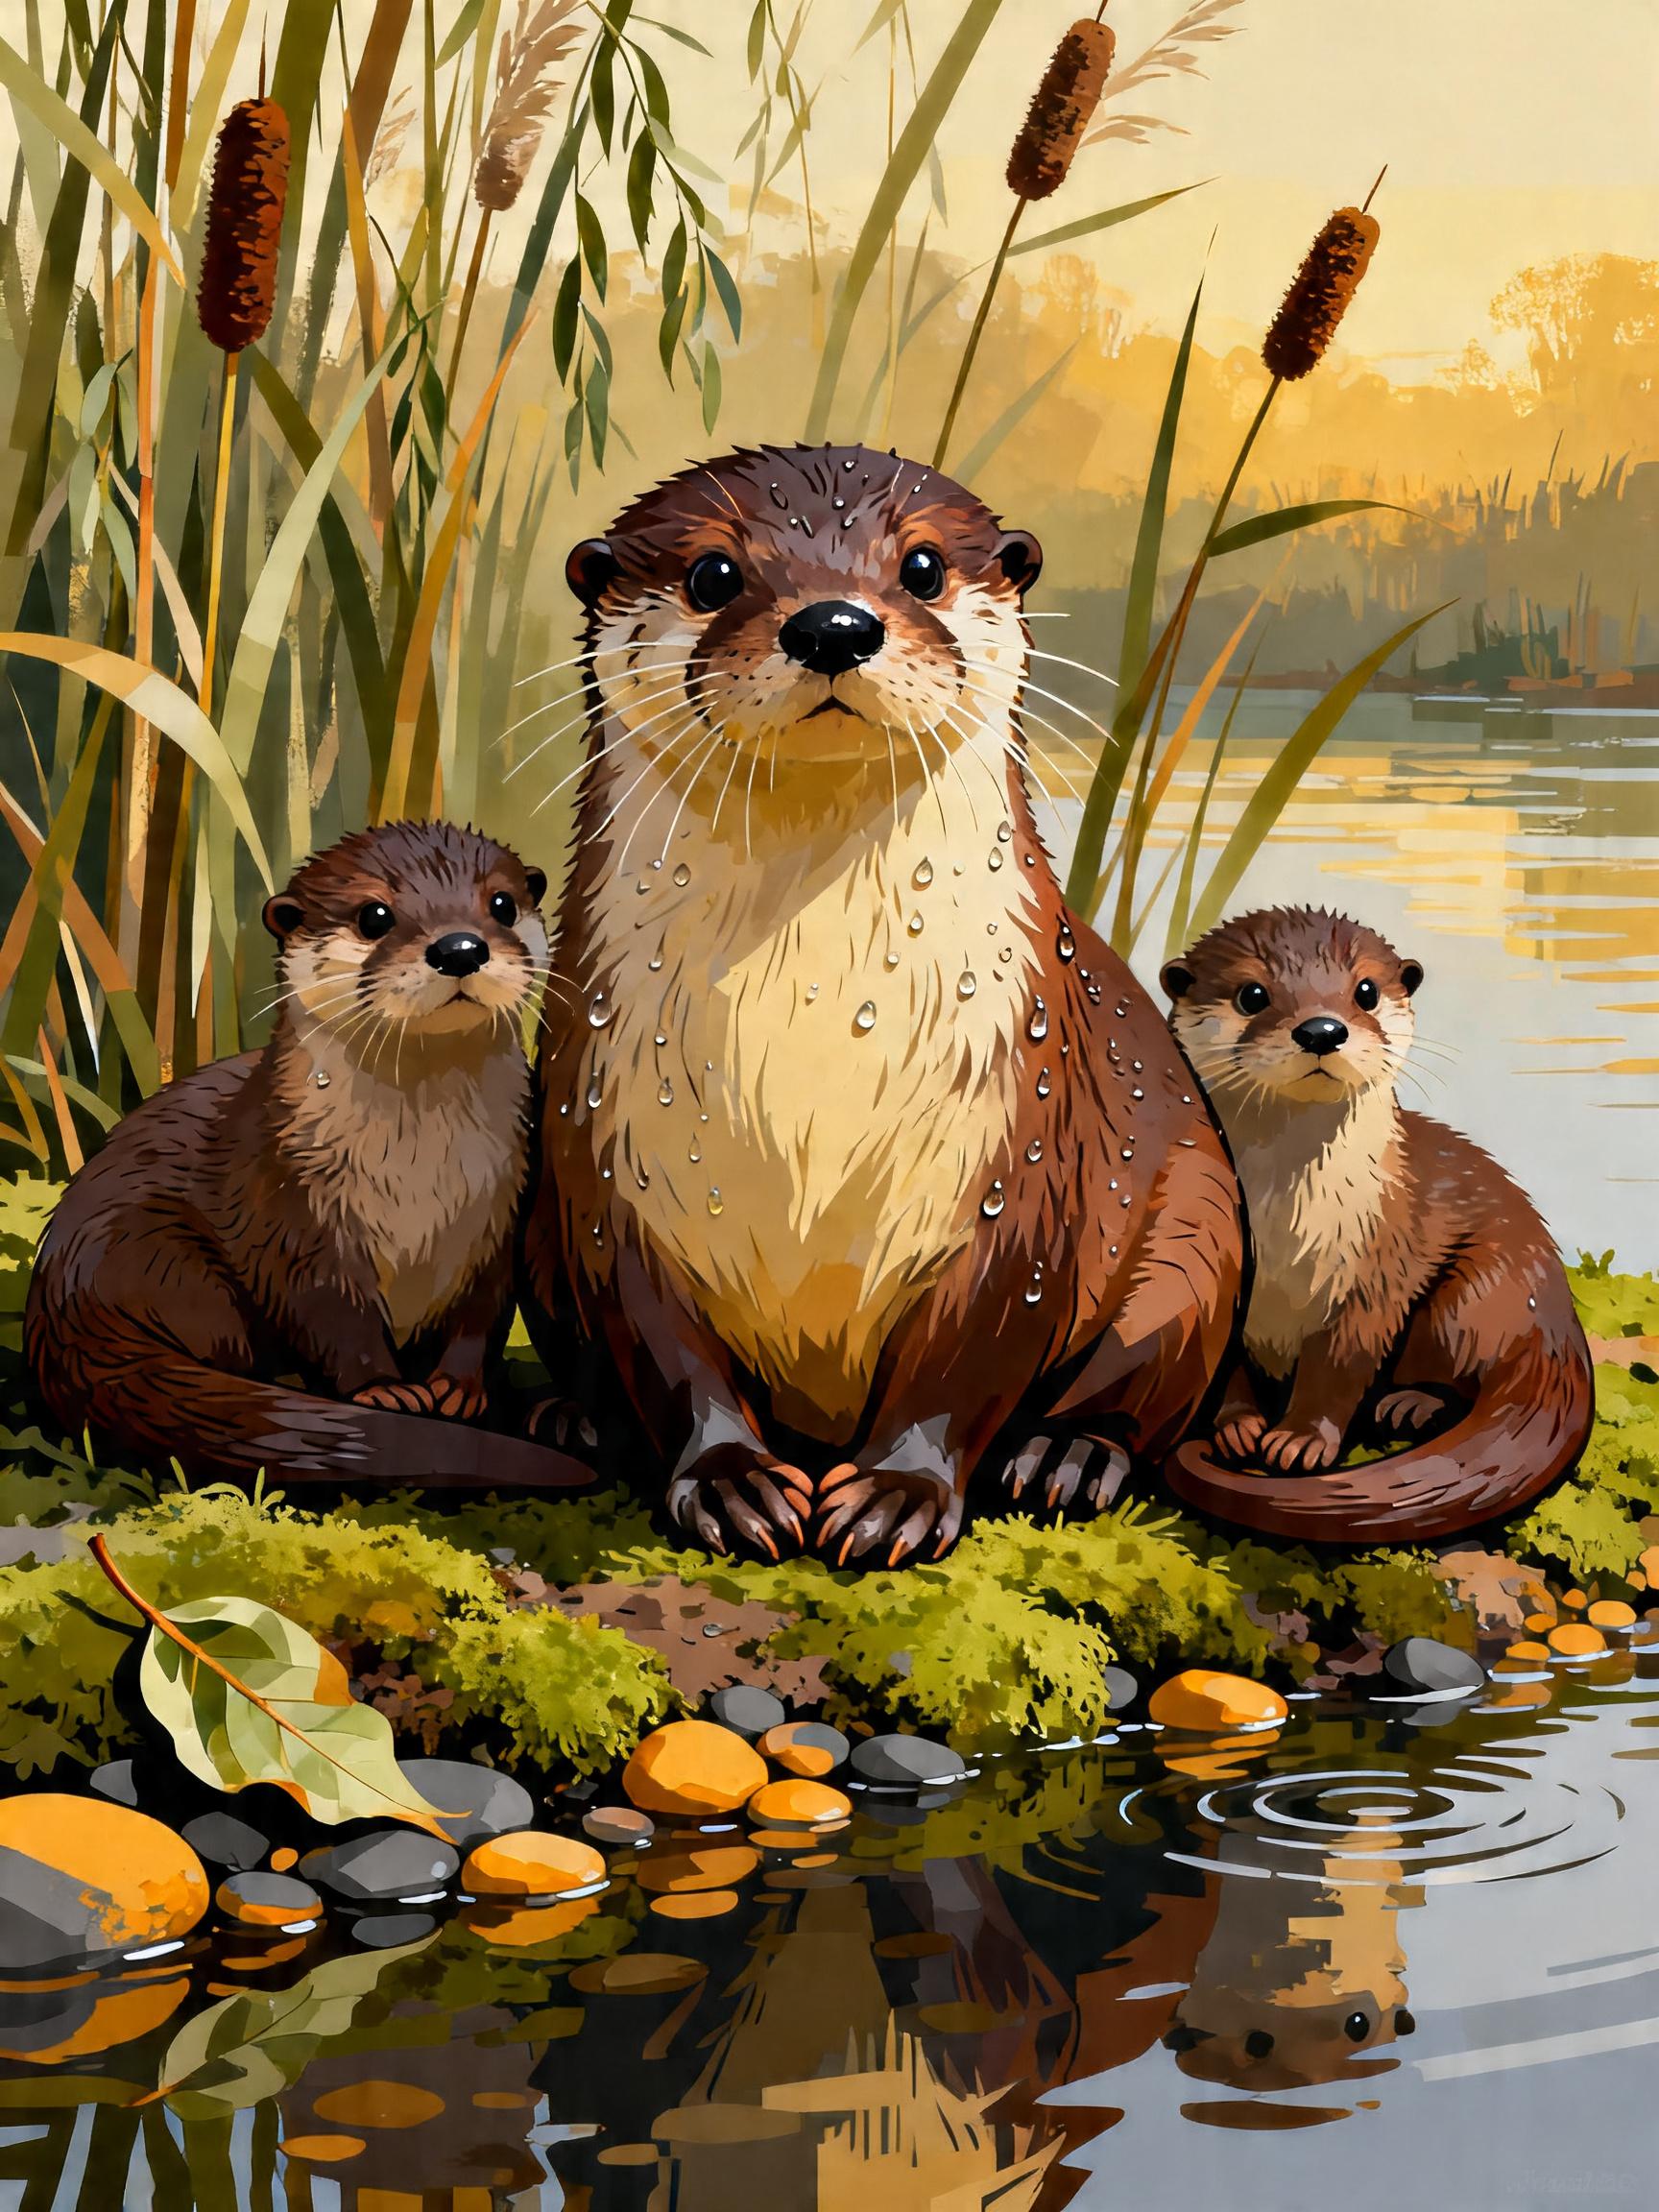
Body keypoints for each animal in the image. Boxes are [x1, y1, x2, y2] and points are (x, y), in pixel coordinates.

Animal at [27, 821, 592, 1490]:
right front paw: (382, 1391)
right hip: (159, 1258)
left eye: (502, 903)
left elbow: (482, 1312)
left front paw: (457, 1387)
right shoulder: (291, 1205)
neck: (419, 1176)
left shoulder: (501, 1209)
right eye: (374, 915)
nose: (460, 948)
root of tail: (62, 1314)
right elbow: (329, 1309)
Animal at [518, 442, 1242, 1565]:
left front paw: (899, 1491)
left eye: (924, 567)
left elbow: (971, 1348)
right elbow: (664, 1346)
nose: (833, 624)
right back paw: (575, 1419)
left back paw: (1072, 1456)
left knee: (1152, 1369)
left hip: (1200, 1222)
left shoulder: (1022, 1145)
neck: (817, 1024)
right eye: (713, 574)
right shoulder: (604, 1153)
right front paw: (730, 1480)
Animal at [1160, 906, 1592, 1541]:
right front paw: (1237, 1424)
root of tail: (1559, 1327)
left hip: (1478, 1295)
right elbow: (1224, 1359)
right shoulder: (1217, 1252)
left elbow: (1342, 1360)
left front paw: (1299, 1439)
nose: (1322, 1030)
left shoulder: (1382, 1257)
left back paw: (1410, 1403)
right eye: (1251, 994)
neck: (1286, 1229)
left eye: (1365, 991)